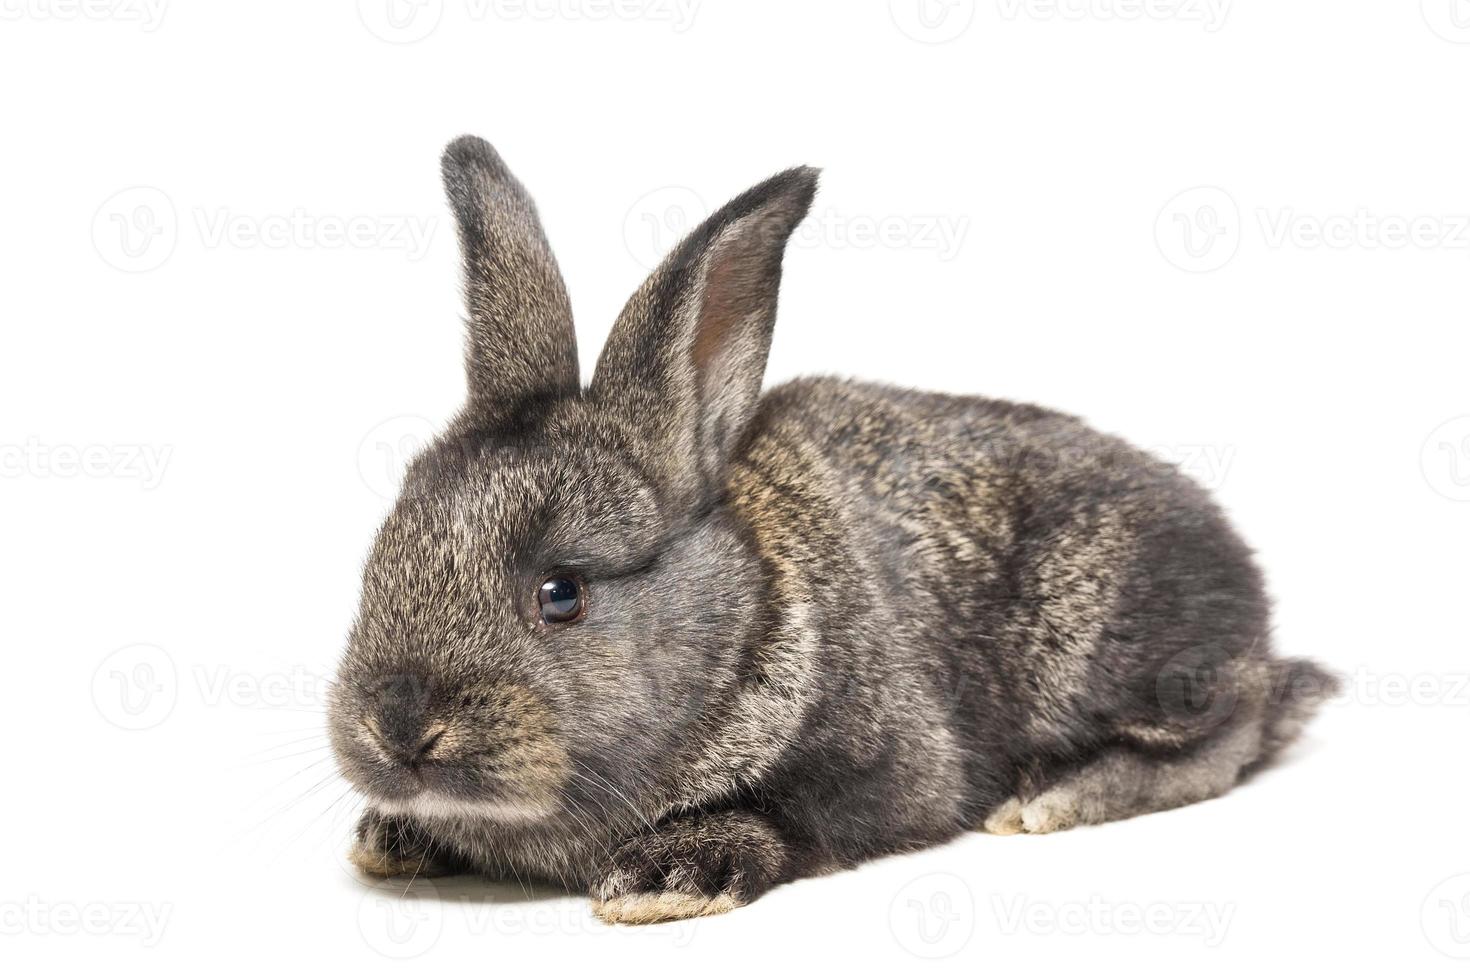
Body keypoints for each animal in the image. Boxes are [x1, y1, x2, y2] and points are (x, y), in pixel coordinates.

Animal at [327, 138, 1340, 928]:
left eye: (561, 593)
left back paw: (1054, 795)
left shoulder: (893, 775)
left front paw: (666, 877)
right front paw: (388, 839)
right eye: (384, 553)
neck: (743, 624)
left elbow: (798, 820)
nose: (399, 727)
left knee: (1227, 736)